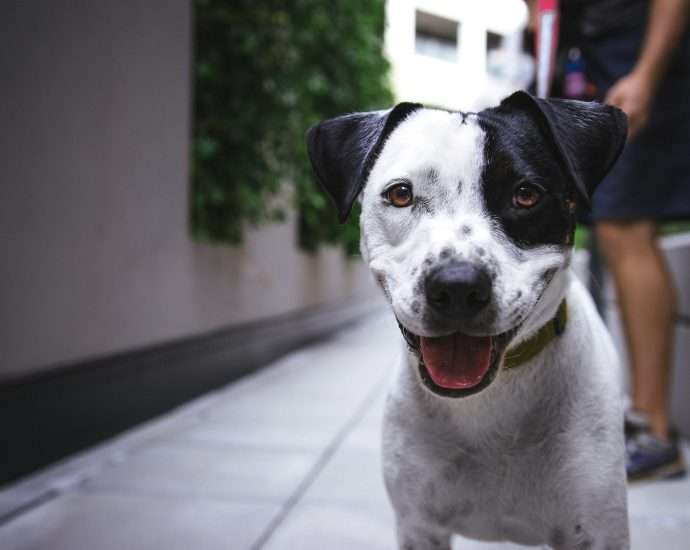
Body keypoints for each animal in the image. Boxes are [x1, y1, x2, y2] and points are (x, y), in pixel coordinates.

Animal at [306, 92, 628, 548]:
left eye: (526, 195)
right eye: (400, 194)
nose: (457, 286)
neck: (491, 401)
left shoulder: (597, 531)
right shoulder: (419, 526)